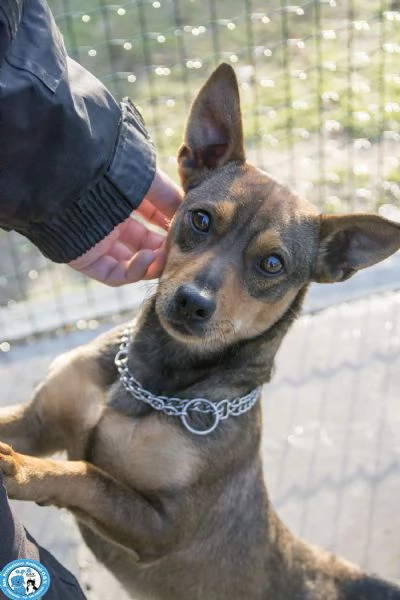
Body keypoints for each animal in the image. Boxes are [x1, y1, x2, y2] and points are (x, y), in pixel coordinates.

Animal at [0, 63, 400, 596]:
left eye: (272, 264)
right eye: (201, 219)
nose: (192, 303)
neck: (148, 379)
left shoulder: (162, 527)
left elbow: (86, 473)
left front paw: (20, 469)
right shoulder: (37, 421)